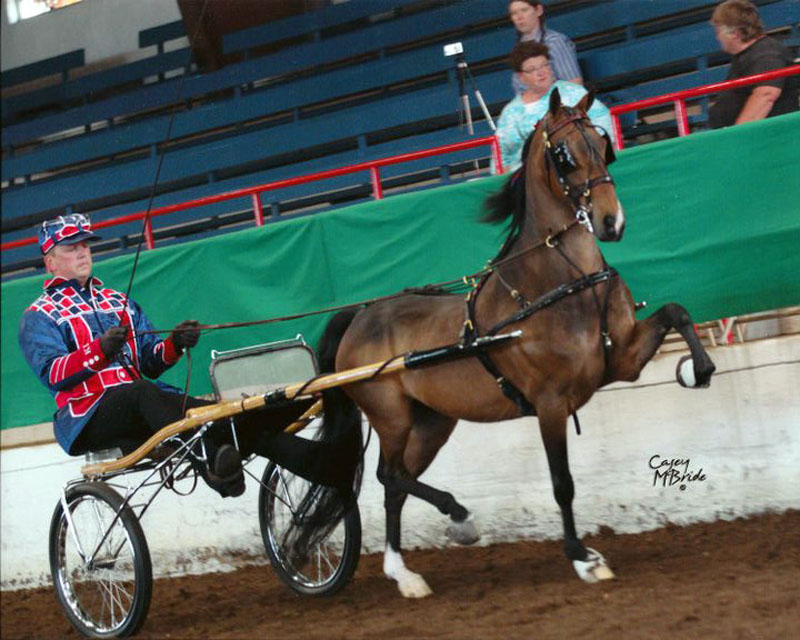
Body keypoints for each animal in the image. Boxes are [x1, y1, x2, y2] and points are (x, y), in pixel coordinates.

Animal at [311, 88, 716, 598]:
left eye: (603, 143)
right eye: (564, 155)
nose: (611, 221)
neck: (563, 283)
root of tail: (362, 315)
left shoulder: (621, 359)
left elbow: (676, 312)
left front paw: (699, 369)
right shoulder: (550, 403)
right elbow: (562, 482)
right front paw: (582, 556)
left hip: (432, 423)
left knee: (396, 485)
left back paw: (405, 572)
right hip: (392, 417)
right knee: (390, 475)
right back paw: (456, 519)